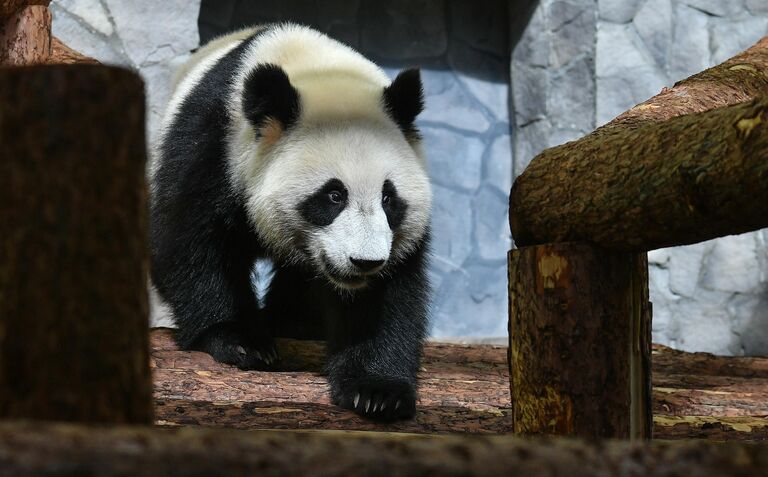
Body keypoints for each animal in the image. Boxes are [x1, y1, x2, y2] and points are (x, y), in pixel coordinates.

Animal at [151, 24, 436, 418]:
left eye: (388, 198)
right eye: (334, 196)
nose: (365, 262)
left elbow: (389, 293)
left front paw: (378, 391)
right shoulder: (213, 143)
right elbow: (191, 239)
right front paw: (241, 341)